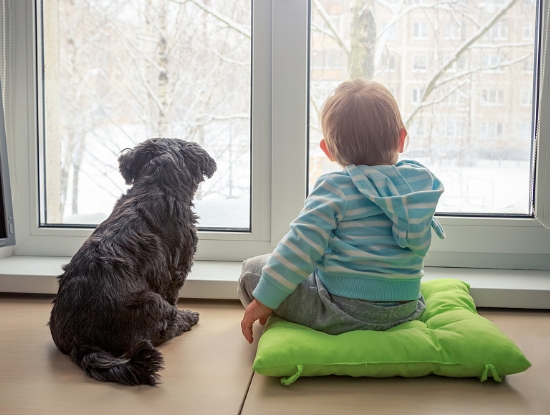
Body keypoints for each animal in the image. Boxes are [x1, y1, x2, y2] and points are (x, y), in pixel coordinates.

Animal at [49, 139, 217, 386]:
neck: (156, 186)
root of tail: (79, 340)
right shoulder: (176, 272)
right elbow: (173, 297)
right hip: (151, 302)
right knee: (166, 326)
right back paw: (187, 318)